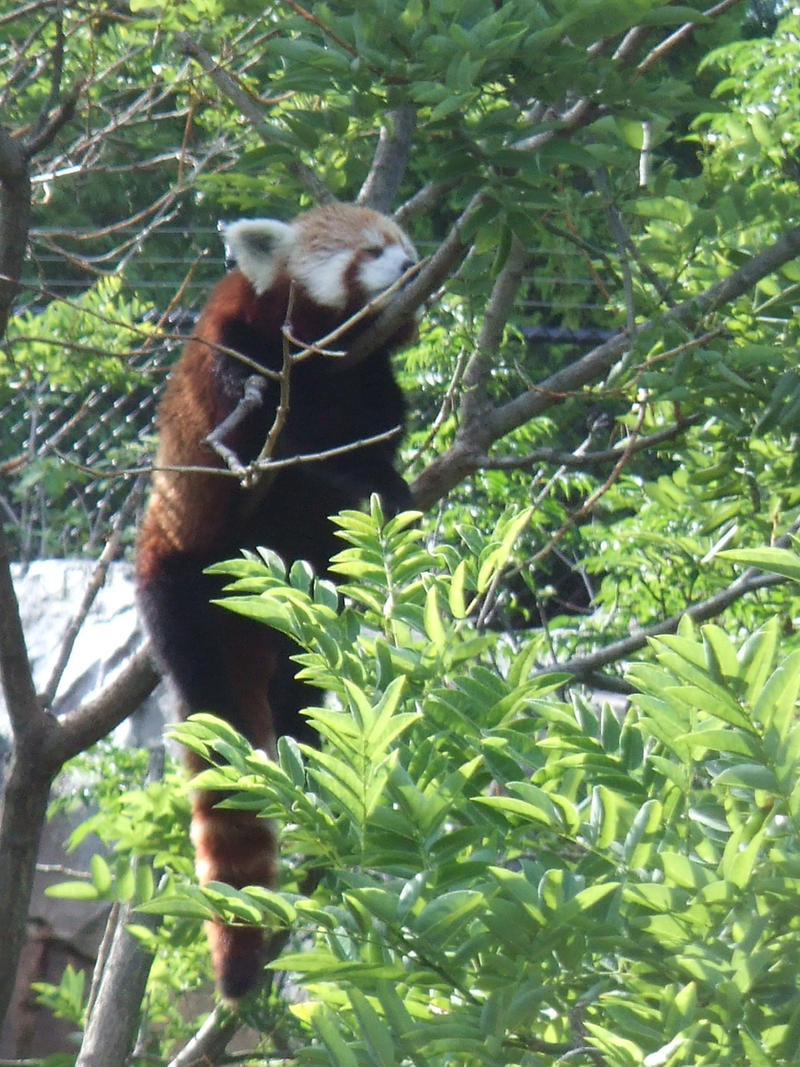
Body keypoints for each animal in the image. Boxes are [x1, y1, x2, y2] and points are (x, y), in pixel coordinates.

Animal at [136, 201, 420, 998]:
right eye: (371, 251)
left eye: (401, 243)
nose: (412, 267)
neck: (322, 363)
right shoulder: (236, 354)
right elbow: (265, 428)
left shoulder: (366, 386)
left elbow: (380, 434)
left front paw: (385, 485)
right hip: (182, 590)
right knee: (213, 703)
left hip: (288, 624)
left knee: (298, 684)